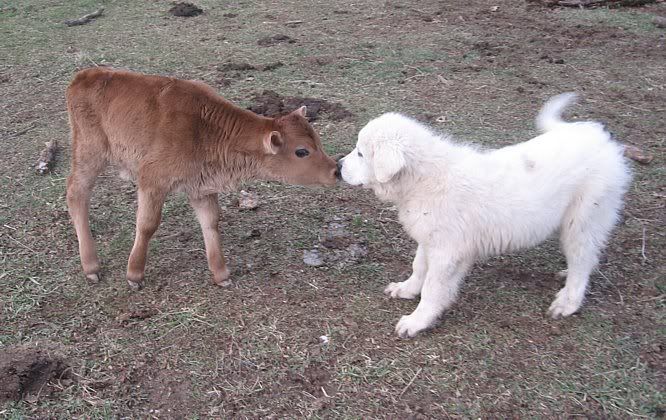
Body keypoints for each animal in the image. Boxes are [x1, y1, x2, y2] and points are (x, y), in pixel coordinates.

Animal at [66, 67, 339, 289]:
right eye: (302, 151)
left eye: (318, 140)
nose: (336, 170)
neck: (206, 128)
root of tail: (86, 75)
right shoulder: (152, 180)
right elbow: (147, 225)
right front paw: (134, 274)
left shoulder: (201, 188)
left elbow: (211, 222)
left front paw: (221, 274)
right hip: (90, 152)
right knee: (76, 193)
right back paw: (91, 266)